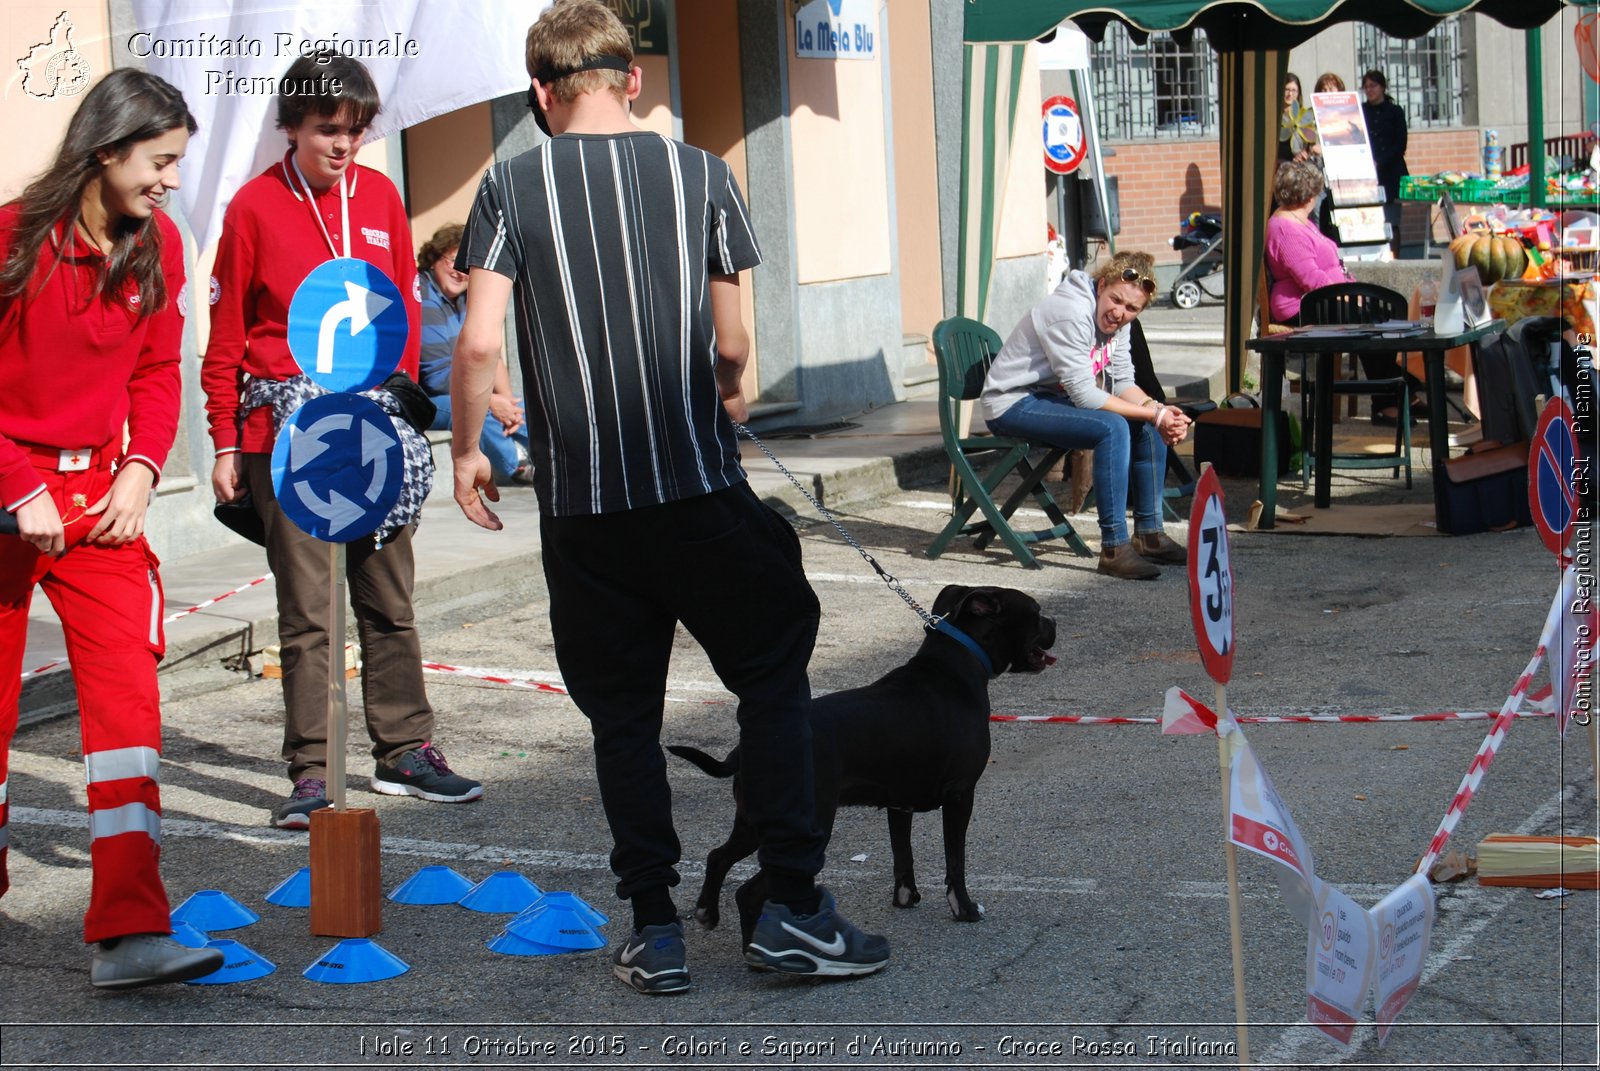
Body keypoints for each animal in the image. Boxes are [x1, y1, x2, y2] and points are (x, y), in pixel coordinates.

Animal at [668, 579, 1056, 941]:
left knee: (717, 856)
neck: (956, 667)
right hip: (809, 826)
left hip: (752, 823)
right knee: (749, 892)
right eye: (1036, 612)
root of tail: (743, 750)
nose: (1053, 621)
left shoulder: (899, 803)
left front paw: (906, 897)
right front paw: (964, 908)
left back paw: (707, 913)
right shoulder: (960, 795)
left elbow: (903, 854)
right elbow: (955, 860)